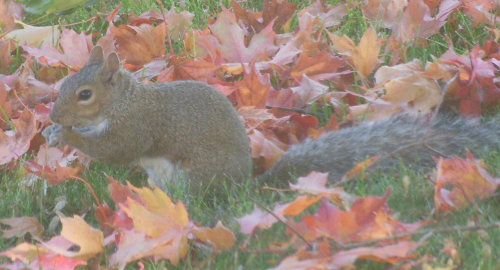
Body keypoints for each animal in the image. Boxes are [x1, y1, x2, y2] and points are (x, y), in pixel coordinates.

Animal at [45, 45, 498, 192]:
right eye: (65, 83)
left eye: (84, 94)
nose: (53, 112)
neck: (123, 101)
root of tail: (244, 185)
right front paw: (53, 130)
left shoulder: (139, 124)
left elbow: (116, 149)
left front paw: (67, 136)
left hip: (196, 175)